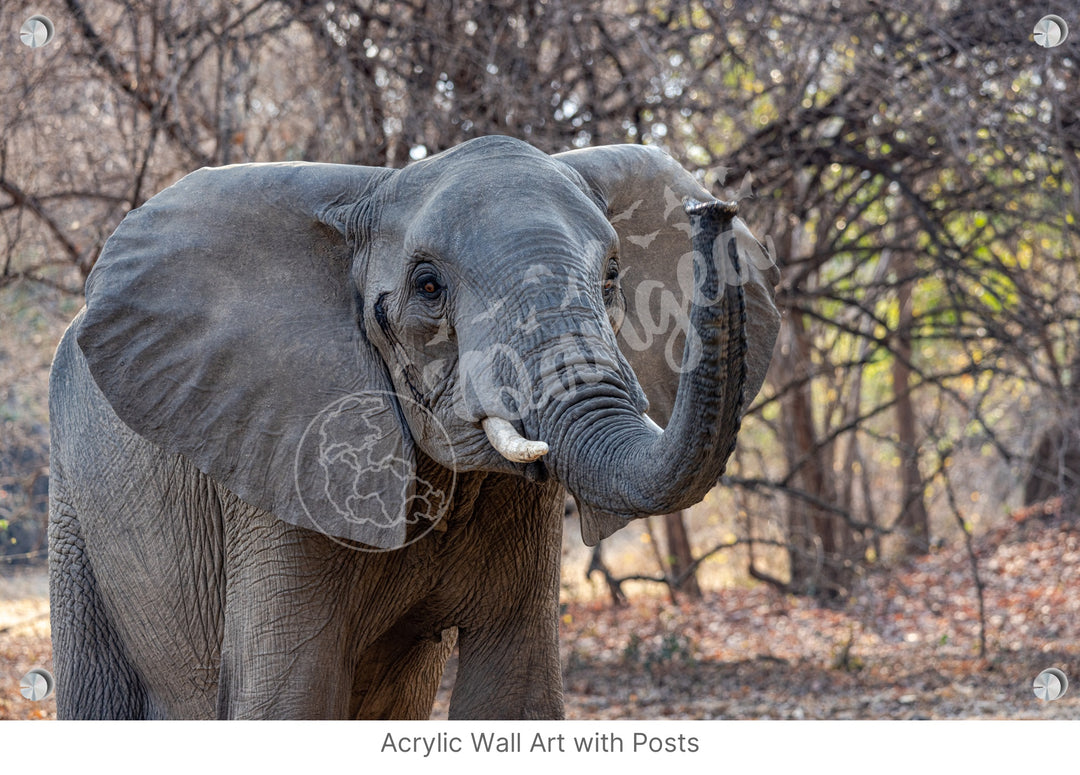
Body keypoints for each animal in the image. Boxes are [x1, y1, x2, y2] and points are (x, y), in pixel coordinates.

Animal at [48, 134, 777, 721]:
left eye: (613, 277)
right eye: (427, 287)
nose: (714, 211)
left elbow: (514, 694)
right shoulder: (280, 465)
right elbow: (287, 701)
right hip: (73, 512)